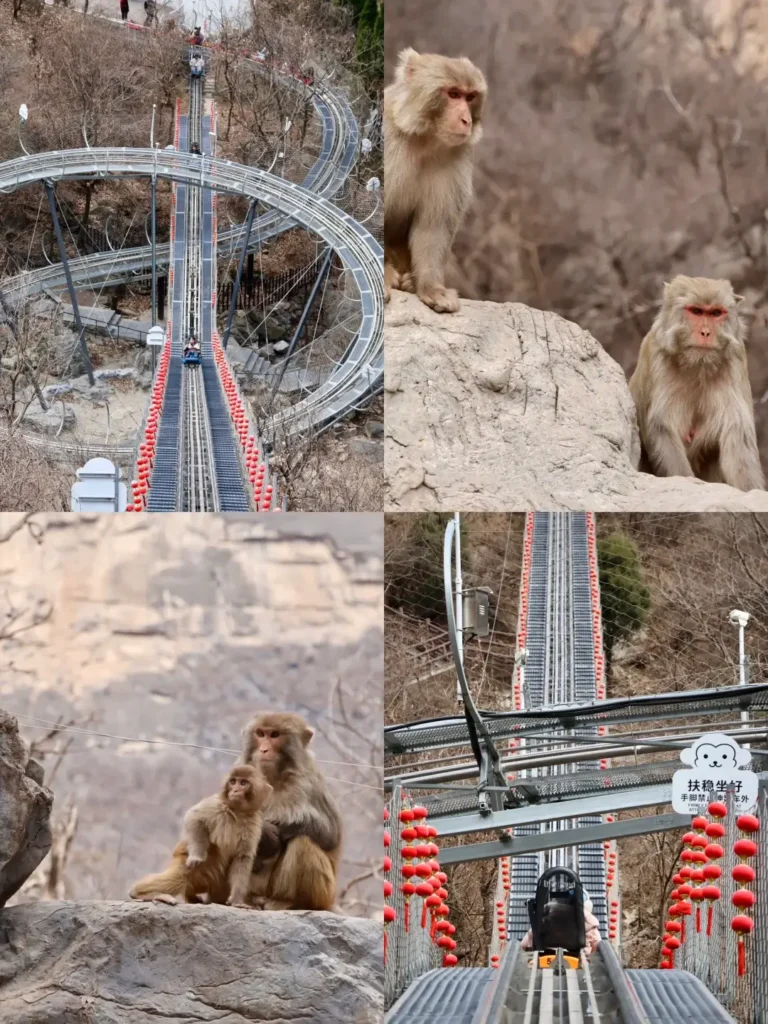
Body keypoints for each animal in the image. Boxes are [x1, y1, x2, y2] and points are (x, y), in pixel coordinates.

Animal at [129, 765, 272, 906]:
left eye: (243, 783)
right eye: (233, 782)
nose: (235, 790)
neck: (237, 812)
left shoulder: (254, 824)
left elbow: (242, 857)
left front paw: (237, 900)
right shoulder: (217, 804)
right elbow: (194, 818)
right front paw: (197, 857)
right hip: (184, 865)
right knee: (179, 877)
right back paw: (141, 893)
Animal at [240, 711, 342, 912]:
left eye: (275, 735)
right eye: (260, 733)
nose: (264, 750)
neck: (273, 778)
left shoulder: (307, 782)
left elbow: (330, 834)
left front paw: (275, 830)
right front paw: (265, 831)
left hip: (325, 891)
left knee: (302, 841)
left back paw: (289, 902)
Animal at [384, 48, 487, 314]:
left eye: (470, 97)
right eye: (453, 94)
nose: (466, 120)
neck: (424, 139)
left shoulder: (455, 158)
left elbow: (434, 225)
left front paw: (431, 287)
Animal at [629, 275, 764, 492]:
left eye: (716, 313)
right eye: (696, 311)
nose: (706, 332)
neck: (697, 365)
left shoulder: (735, 361)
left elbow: (738, 434)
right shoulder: (657, 358)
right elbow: (661, 428)